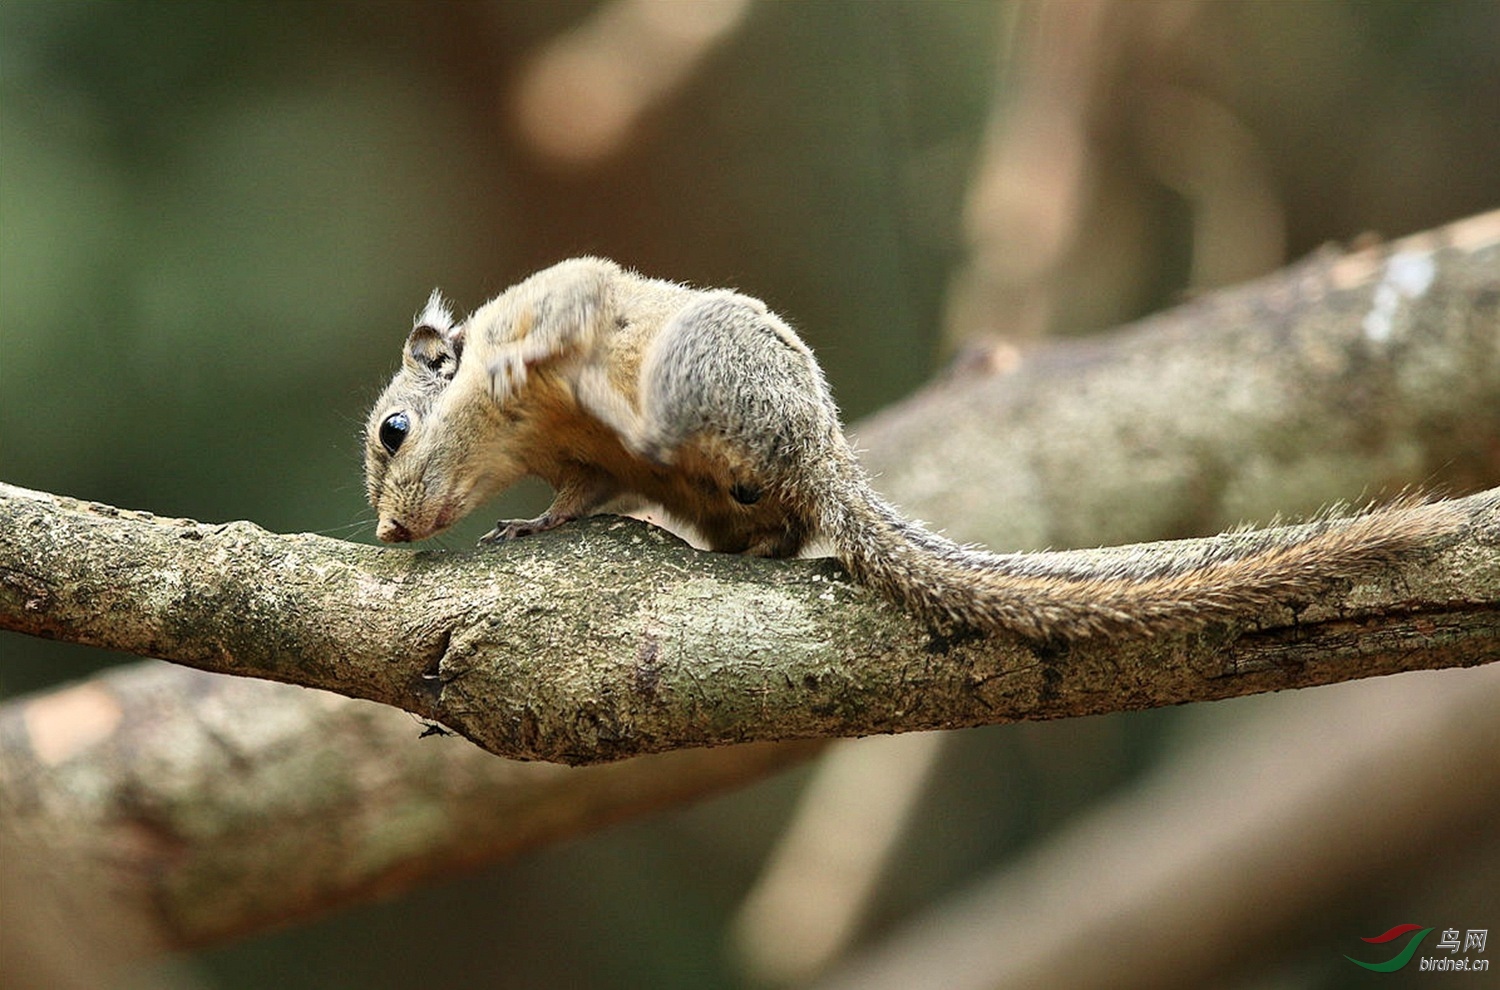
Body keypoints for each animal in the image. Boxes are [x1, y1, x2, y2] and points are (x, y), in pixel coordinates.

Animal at [366, 255, 1464, 642]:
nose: (385, 535)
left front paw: (529, 365)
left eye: (393, 430)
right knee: (765, 534)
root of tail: (826, 461)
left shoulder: (563, 295)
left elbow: (563, 319)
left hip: (698, 364)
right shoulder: (585, 471)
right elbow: (578, 498)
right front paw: (526, 525)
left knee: (668, 430)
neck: (523, 433)